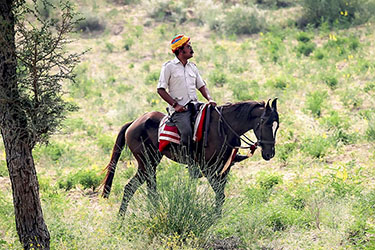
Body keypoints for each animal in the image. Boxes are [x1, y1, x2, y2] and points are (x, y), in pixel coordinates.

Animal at [102, 98, 280, 214]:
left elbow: (220, 195)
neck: (224, 128)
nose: (269, 153)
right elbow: (220, 194)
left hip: (149, 164)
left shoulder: (224, 169)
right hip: (147, 163)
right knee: (142, 189)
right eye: (265, 122)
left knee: (136, 188)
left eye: (277, 125)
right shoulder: (208, 169)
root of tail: (133, 123)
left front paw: (217, 218)